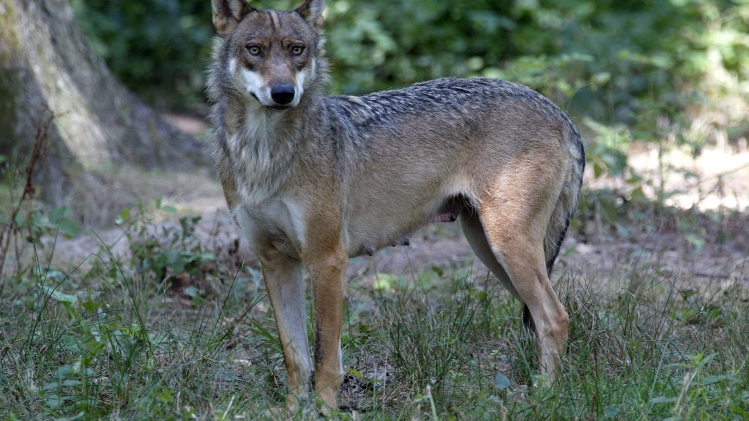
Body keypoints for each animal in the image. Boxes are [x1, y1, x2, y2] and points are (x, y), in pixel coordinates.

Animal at [207, 0, 585, 415]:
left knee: (556, 317)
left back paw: (544, 396)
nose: (283, 93)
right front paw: (294, 411)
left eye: (296, 50)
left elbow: (325, 359)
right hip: (493, 253)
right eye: (255, 50)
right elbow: (296, 357)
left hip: (508, 248)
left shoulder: (327, 261)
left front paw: (325, 412)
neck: (264, 153)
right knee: (540, 318)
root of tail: (560, 113)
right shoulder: (276, 263)